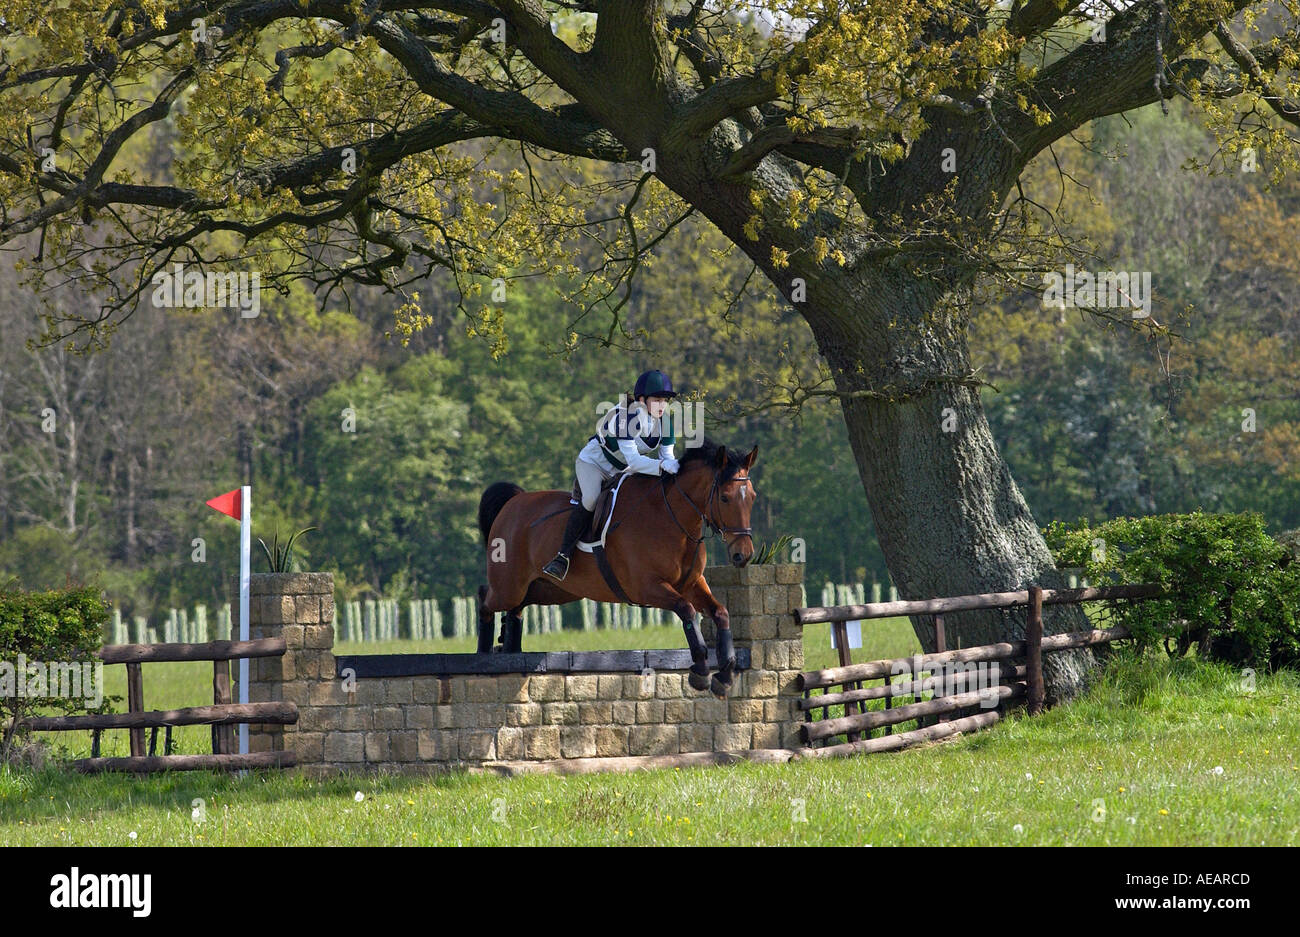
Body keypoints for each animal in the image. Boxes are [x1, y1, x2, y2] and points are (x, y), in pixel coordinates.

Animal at [473, 439, 759, 696]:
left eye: (753, 498)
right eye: (724, 498)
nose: (742, 555)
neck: (672, 518)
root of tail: (514, 502)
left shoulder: (691, 584)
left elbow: (721, 613)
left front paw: (725, 674)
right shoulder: (647, 588)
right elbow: (686, 610)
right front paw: (700, 671)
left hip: (551, 590)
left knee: (517, 608)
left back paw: (508, 648)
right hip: (510, 586)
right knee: (486, 597)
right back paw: (483, 653)